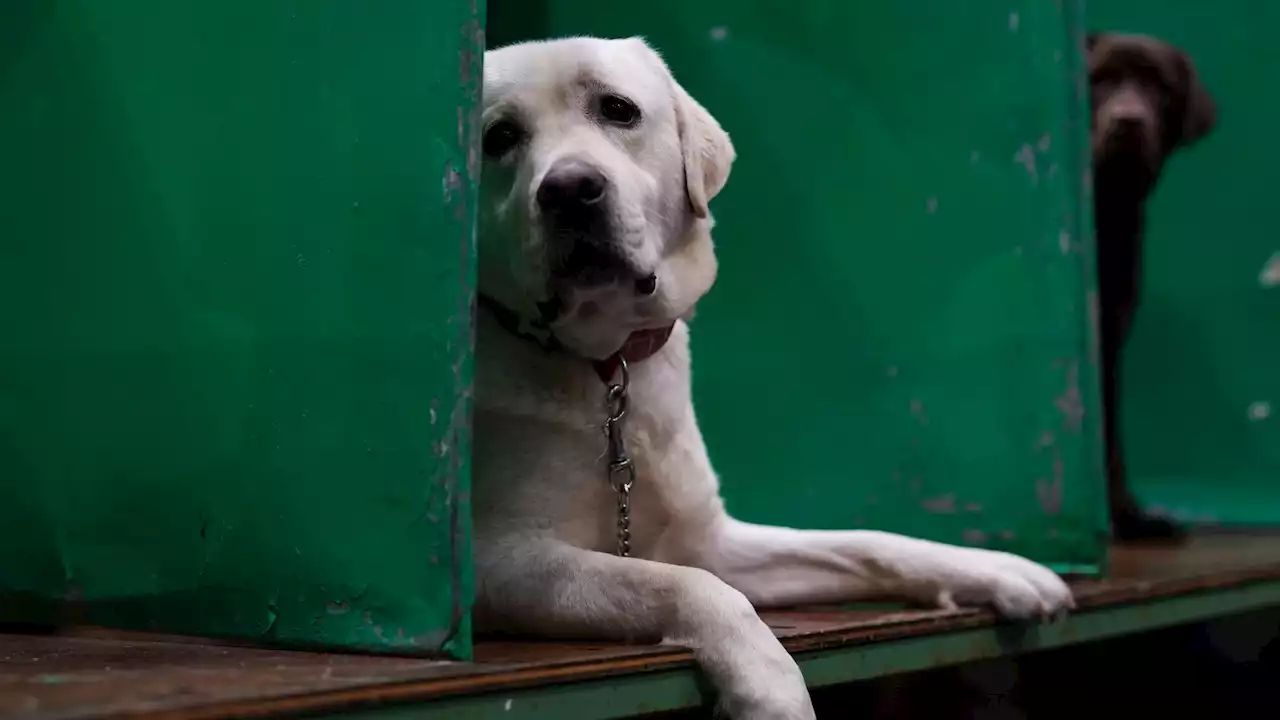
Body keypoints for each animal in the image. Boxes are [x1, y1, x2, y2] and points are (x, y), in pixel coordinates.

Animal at [1085, 32, 1213, 538]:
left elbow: (1110, 436)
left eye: (1159, 87)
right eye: (1099, 81)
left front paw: (1129, 515)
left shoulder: (1109, 338)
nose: (1129, 120)